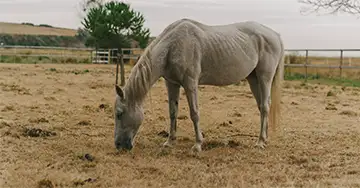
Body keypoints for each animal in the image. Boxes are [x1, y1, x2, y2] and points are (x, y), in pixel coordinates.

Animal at [114, 18, 282, 153]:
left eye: (119, 114)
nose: (118, 145)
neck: (172, 46)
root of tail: (275, 35)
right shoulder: (172, 83)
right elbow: (173, 112)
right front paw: (169, 142)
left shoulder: (190, 84)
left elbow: (194, 113)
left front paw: (197, 145)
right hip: (253, 79)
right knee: (261, 106)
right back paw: (264, 138)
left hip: (264, 77)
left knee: (265, 106)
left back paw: (260, 142)